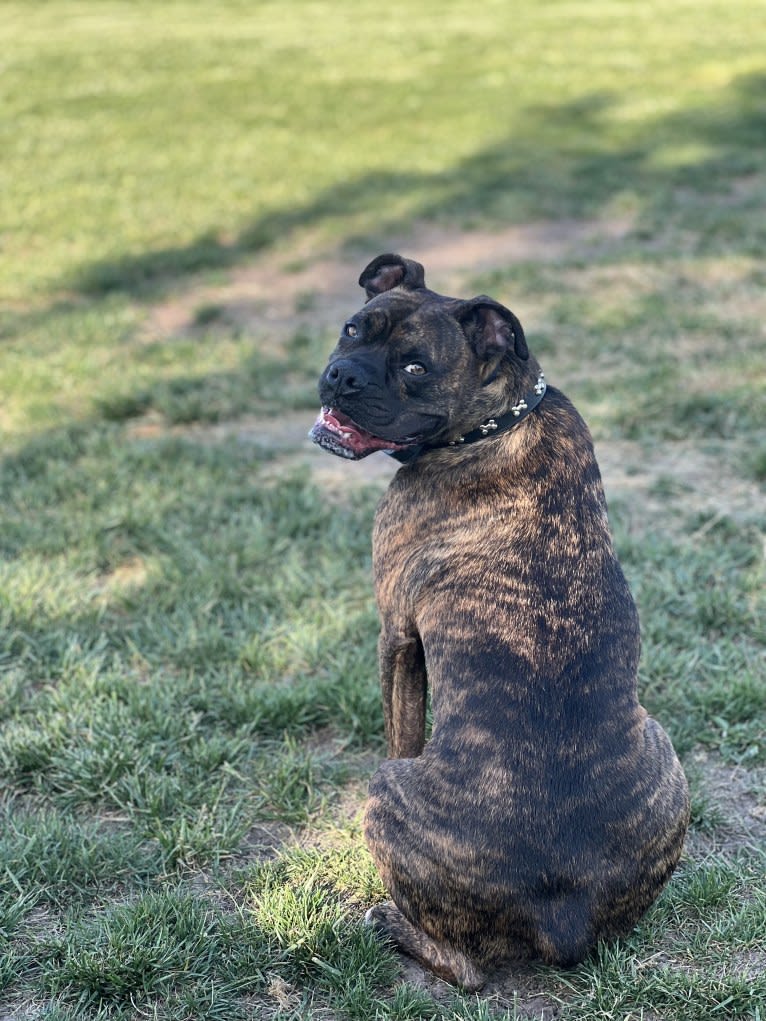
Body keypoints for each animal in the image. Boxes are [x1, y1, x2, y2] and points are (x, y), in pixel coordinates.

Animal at [308, 253, 694, 988]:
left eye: (415, 367)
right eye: (353, 328)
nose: (343, 375)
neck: (498, 420)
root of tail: (560, 916)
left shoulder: (396, 636)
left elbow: (400, 728)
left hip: (388, 793)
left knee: (466, 968)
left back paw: (390, 922)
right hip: (666, 758)